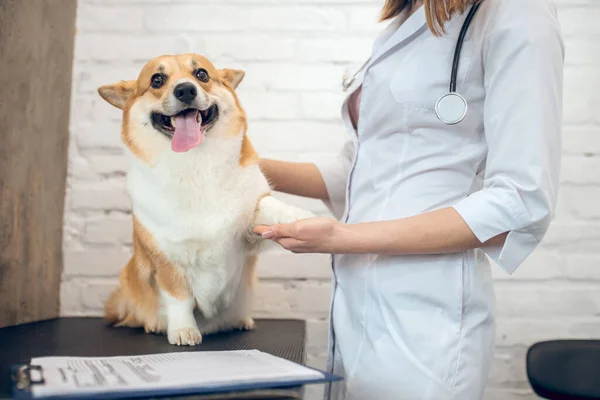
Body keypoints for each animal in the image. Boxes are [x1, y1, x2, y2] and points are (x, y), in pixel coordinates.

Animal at [97, 54, 314, 346]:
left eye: (202, 74)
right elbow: (179, 299)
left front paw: (298, 216)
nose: (185, 90)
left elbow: (268, 204)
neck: (195, 165)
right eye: (157, 80)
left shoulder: (248, 234)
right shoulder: (167, 260)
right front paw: (183, 330)